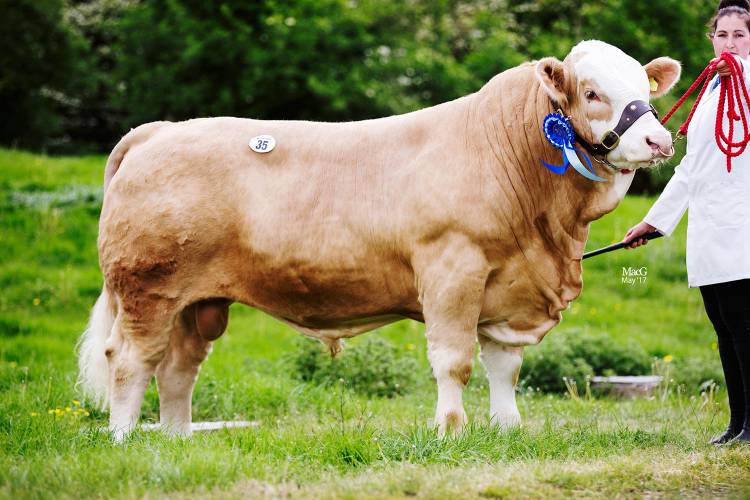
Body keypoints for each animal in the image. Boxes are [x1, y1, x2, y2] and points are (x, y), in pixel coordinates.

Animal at [77, 40, 681, 441]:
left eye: (643, 88)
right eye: (592, 91)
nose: (658, 140)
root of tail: (160, 131)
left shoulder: (511, 287)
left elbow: (504, 366)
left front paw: (508, 428)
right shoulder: (452, 270)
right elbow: (454, 361)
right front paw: (450, 430)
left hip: (195, 301)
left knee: (178, 368)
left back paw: (178, 441)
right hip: (148, 290)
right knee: (130, 359)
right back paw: (124, 439)